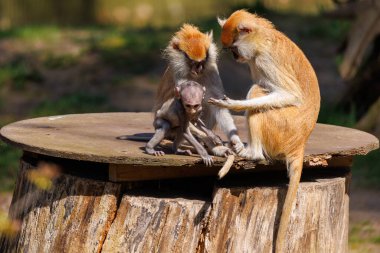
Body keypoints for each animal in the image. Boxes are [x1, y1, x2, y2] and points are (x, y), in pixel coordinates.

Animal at [152, 24, 245, 157]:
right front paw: (215, 144)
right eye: (193, 62)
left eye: (202, 62)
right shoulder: (178, 71)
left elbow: (218, 104)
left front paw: (235, 141)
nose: (199, 69)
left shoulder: (211, 70)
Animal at [209, 9, 322, 251]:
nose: (235, 57)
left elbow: (290, 95)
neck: (263, 38)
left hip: (283, 126)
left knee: (257, 92)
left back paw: (252, 152)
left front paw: (233, 105)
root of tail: (300, 143)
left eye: (234, 48)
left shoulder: (264, 59)